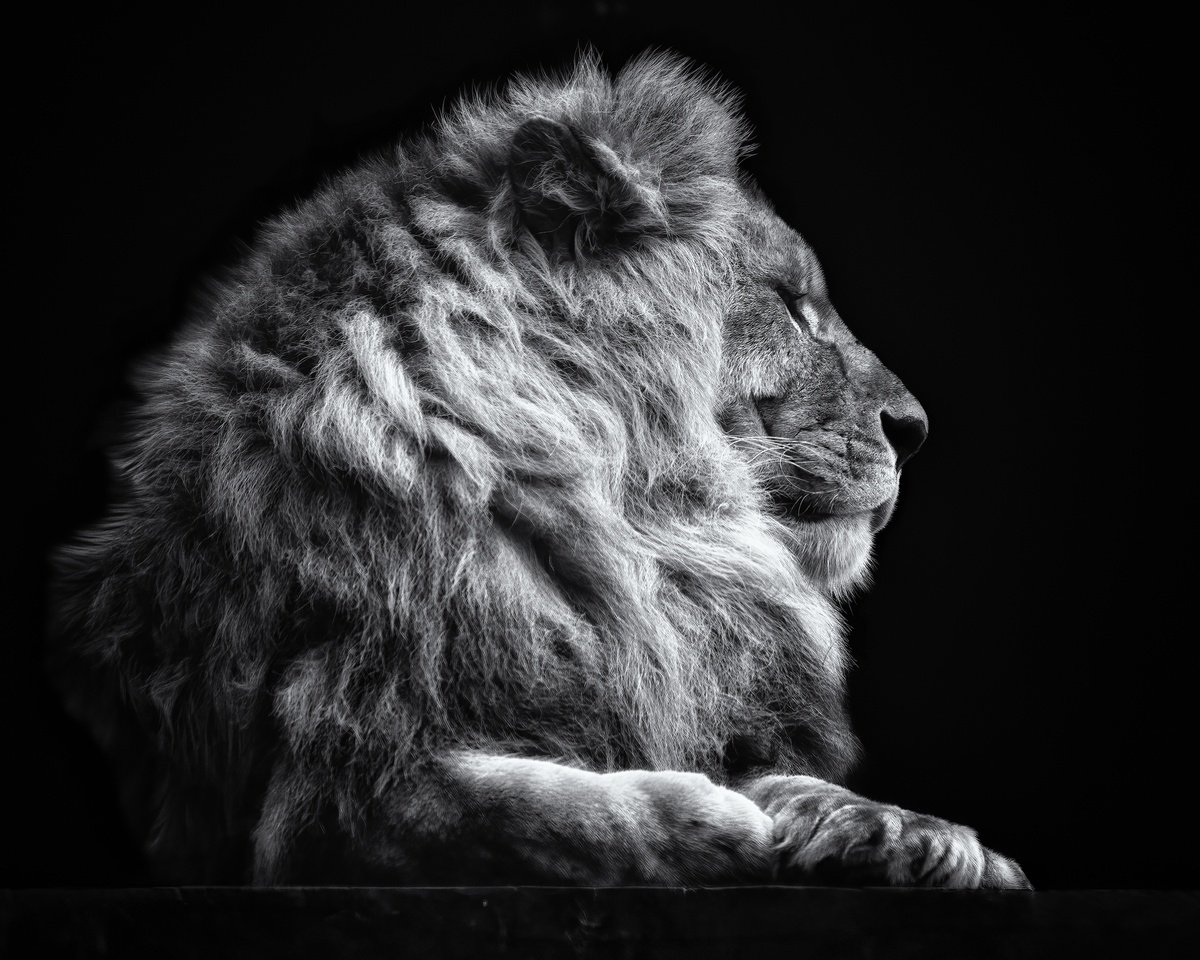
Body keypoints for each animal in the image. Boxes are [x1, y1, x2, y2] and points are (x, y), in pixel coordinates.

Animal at [50, 50, 1029, 888]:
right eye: (792, 306)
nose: (916, 428)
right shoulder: (324, 800)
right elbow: (535, 812)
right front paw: (713, 828)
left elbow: (789, 778)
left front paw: (922, 837)